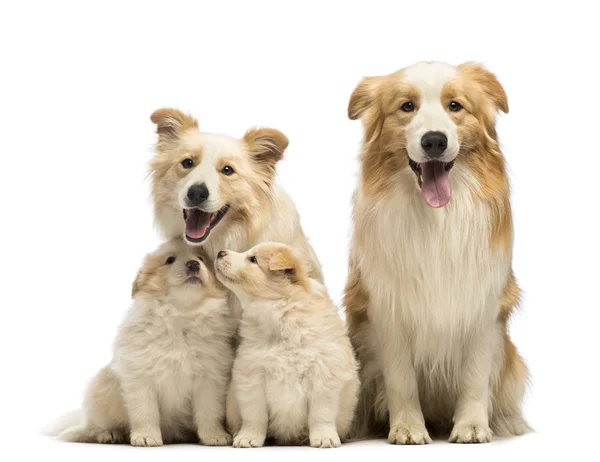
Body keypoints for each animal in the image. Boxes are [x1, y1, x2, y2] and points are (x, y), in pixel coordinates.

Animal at [50, 236, 236, 446]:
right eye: (170, 260)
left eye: (201, 259)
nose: (193, 264)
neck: (181, 315)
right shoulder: (140, 377)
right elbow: (145, 412)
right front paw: (146, 437)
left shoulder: (210, 379)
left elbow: (209, 412)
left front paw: (215, 436)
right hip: (101, 392)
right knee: (93, 426)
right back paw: (109, 434)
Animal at [214, 242, 358, 448]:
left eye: (253, 259)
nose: (220, 253)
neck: (282, 317)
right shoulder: (252, 376)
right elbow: (254, 415)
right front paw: (248, 438)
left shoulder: (323, 375)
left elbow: (321, 414)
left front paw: (324, 438)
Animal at [344, 61, 528, 444]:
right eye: (406, 107)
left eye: (455, 106)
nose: (434, 140)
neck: (436, 218)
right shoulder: (388, 311)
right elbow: (401, 380)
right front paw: (407, 428)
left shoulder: (482, 307)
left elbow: (474, 376)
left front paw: (471, 426)